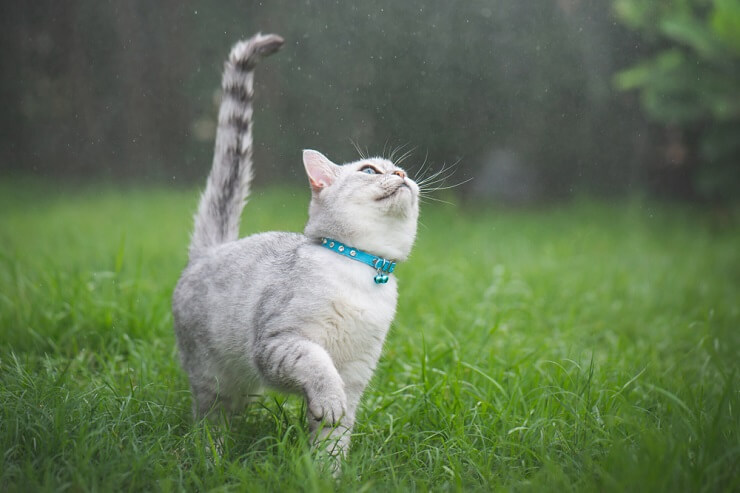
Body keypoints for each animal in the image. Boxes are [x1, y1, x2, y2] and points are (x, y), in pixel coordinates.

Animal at [170, 33, 420, 466]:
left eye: (397, 170)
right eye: (370, 171)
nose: (403, 174)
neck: (361, 273)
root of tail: (211, 252)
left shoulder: (356, 372)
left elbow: (335, 435)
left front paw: (326, 472)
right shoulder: (281, 342)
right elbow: (319, 368)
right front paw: (327, 403)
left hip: (245, 386)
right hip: (212, 378)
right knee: (210, 420)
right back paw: (212, 458)